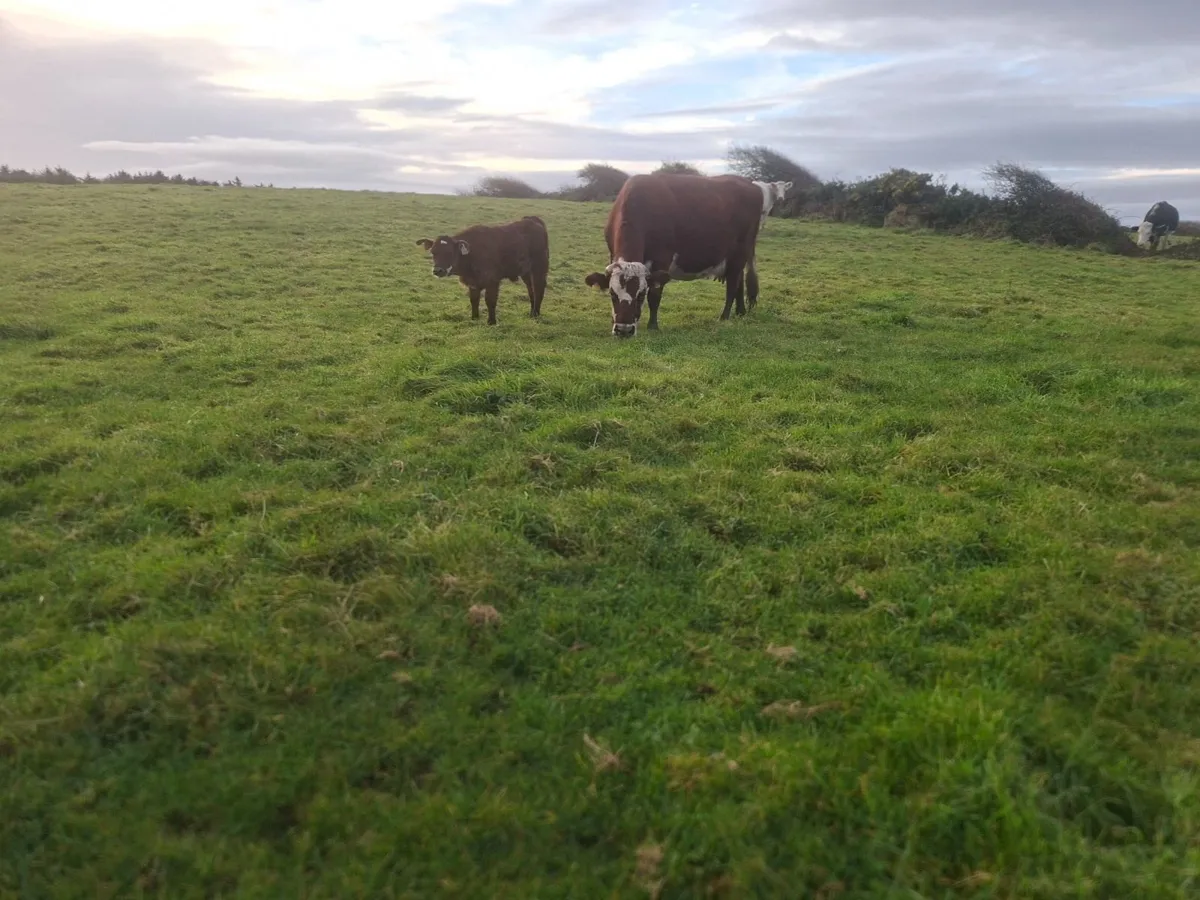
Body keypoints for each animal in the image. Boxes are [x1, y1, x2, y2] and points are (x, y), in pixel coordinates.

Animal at [416, 215, 549, 324]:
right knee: (531, 290)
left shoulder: (492, 281)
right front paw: (474, 318)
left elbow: (490, 301)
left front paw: (491, 322)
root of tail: (532, 219)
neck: (472, 253)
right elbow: (474, 300)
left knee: (538, 289)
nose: (438, 270)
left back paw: (536, 314)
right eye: (433, 252)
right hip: (526, 272)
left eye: (449, 252)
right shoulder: (473, 282)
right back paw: (531, 313)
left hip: (539, 268)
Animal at [583, 173, 763, 337]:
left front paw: (653, 326)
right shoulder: (612, 254)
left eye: (640, 295)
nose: (624, 330)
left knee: (732, 285)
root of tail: (751, 185)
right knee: (739, 281)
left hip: (740, 253)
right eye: (612, 294)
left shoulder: (662, 259)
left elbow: (655, 295)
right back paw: (740, 312)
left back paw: (724, 317)